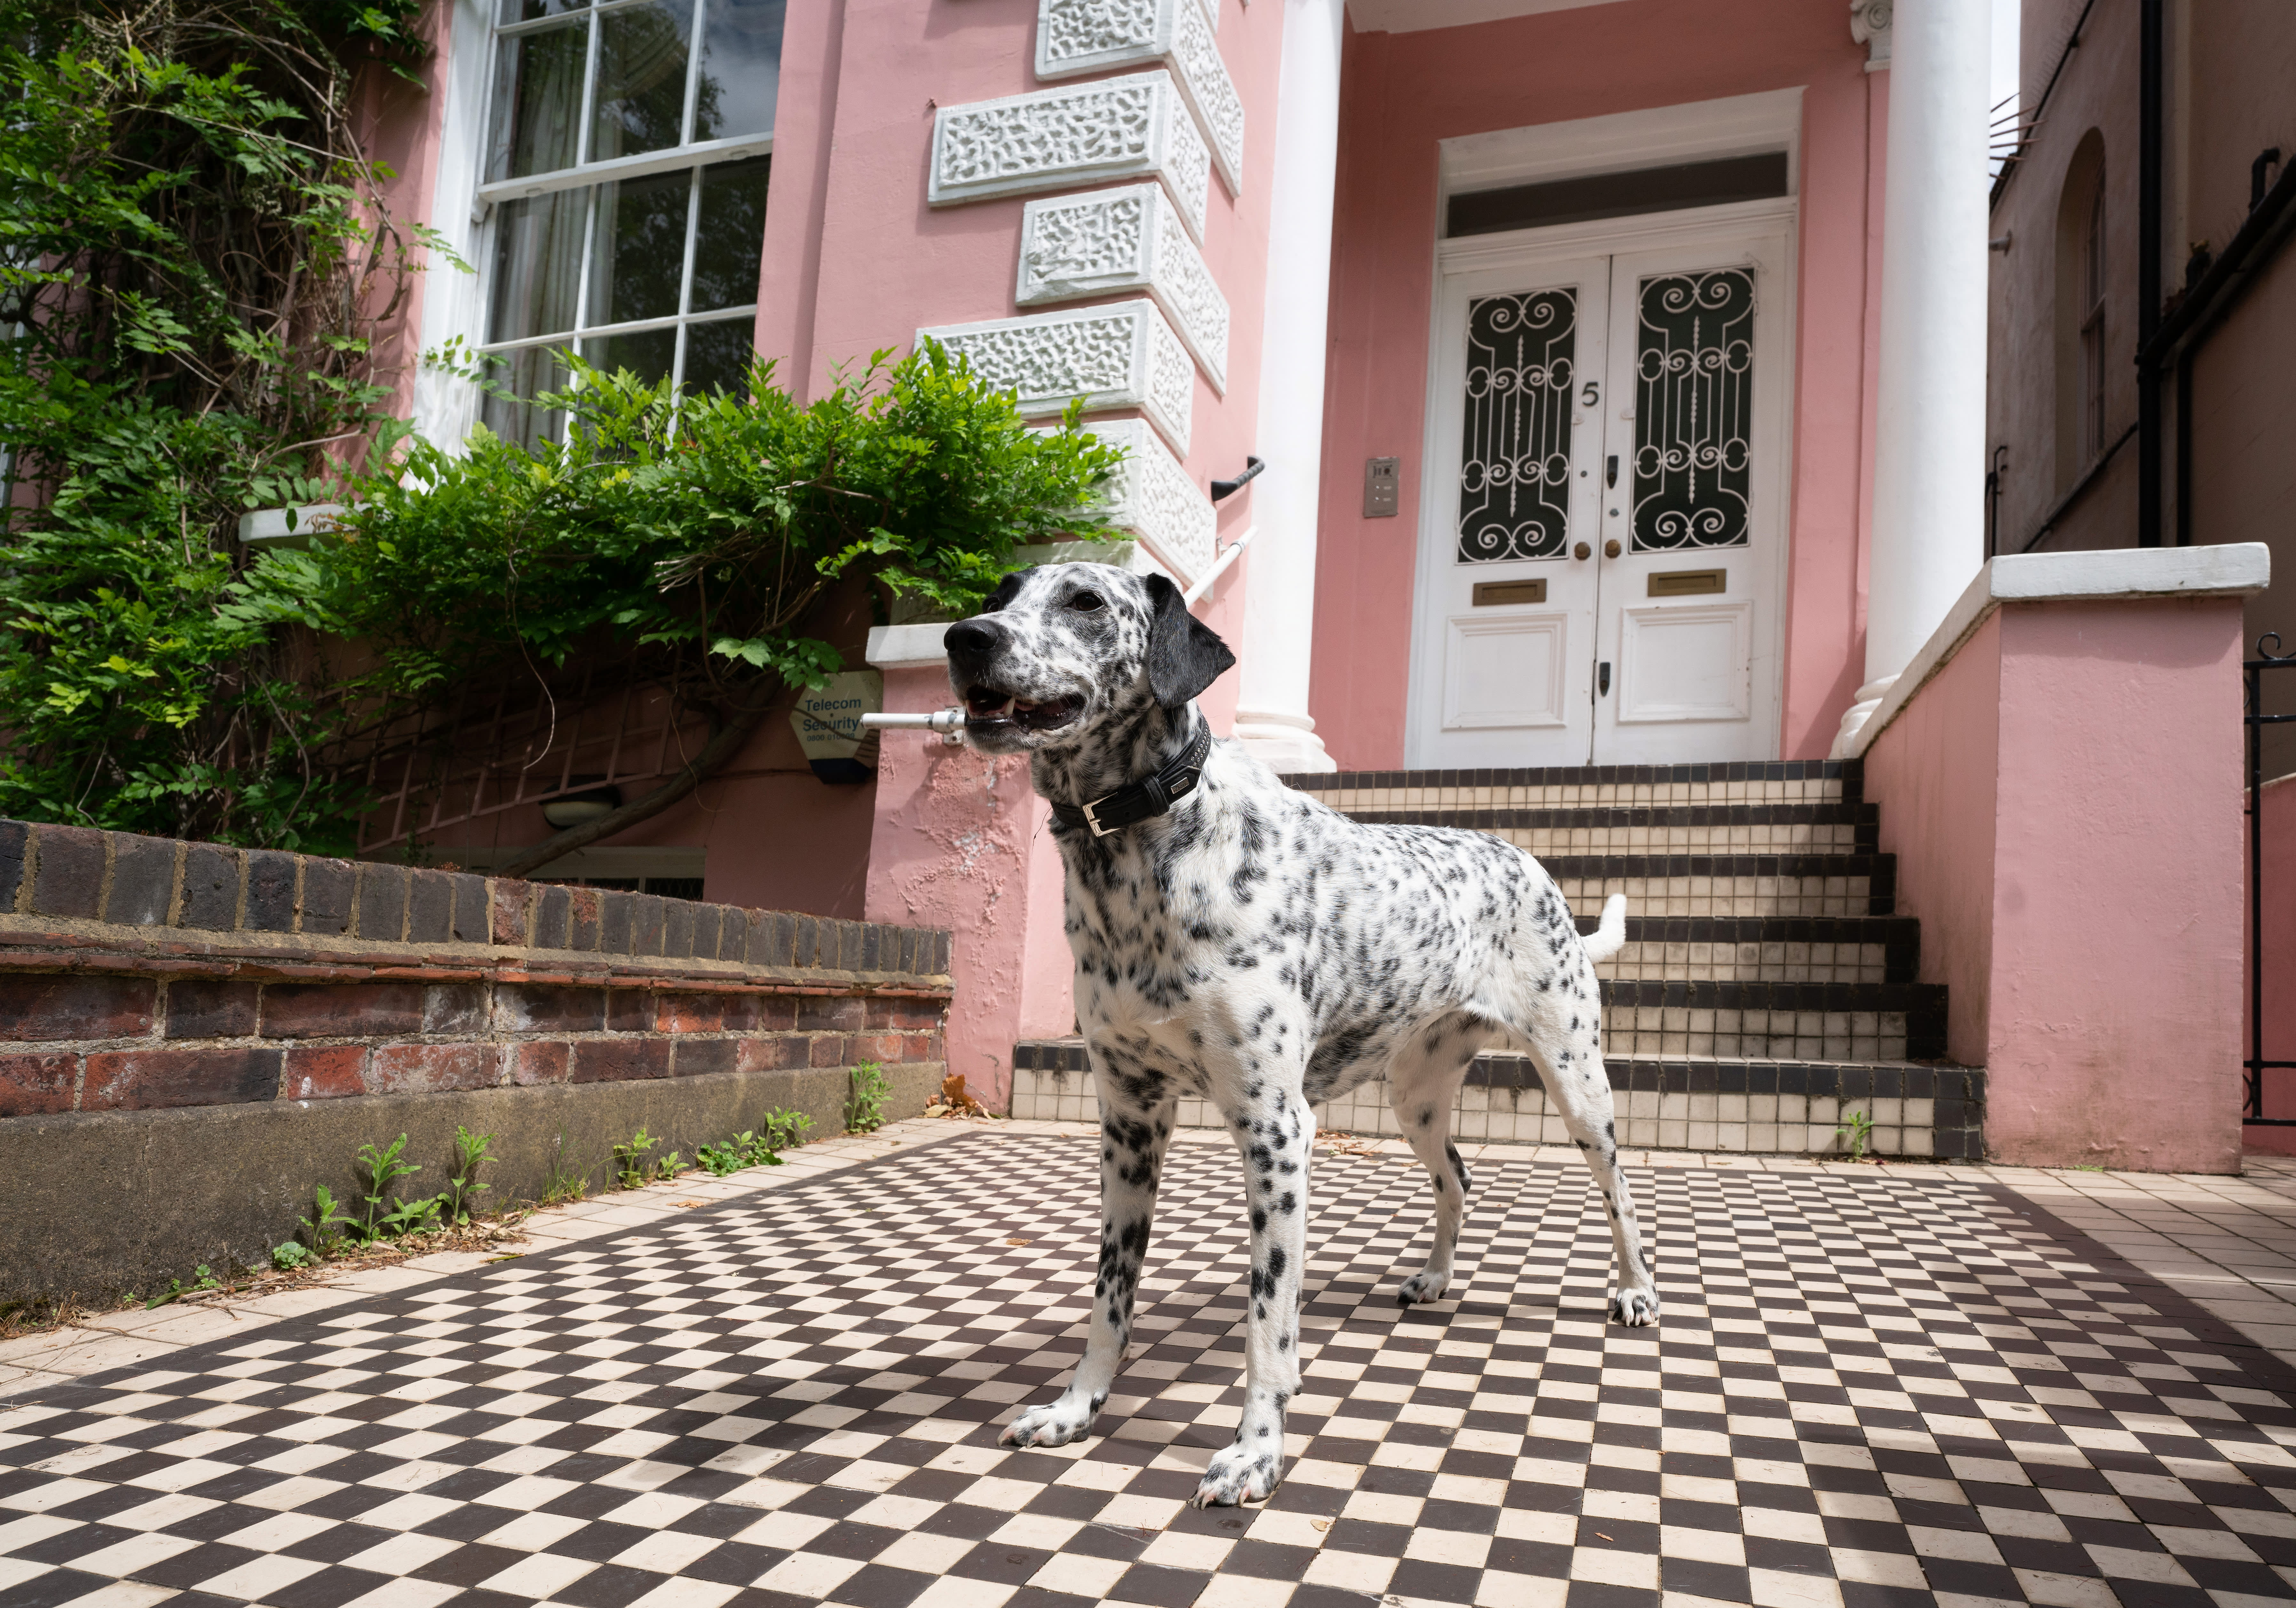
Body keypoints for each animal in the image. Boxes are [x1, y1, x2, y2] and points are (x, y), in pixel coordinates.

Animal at [941, 563, 1662, 1507]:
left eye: (1085, 601)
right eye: (1004, 590)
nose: (963, 636)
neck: (1137, 856)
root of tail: (1526, 863)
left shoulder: (1276, 1130)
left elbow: (1267, 1324)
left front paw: (1256, 1451)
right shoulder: (1128, 1123)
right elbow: (1109, 1298)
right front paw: (1076, 1407)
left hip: (1578, 1083)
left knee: (1620, 1192)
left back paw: (1636, 1291)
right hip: (1415, 1098)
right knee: (1458, 1176)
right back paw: (1437, 1277)